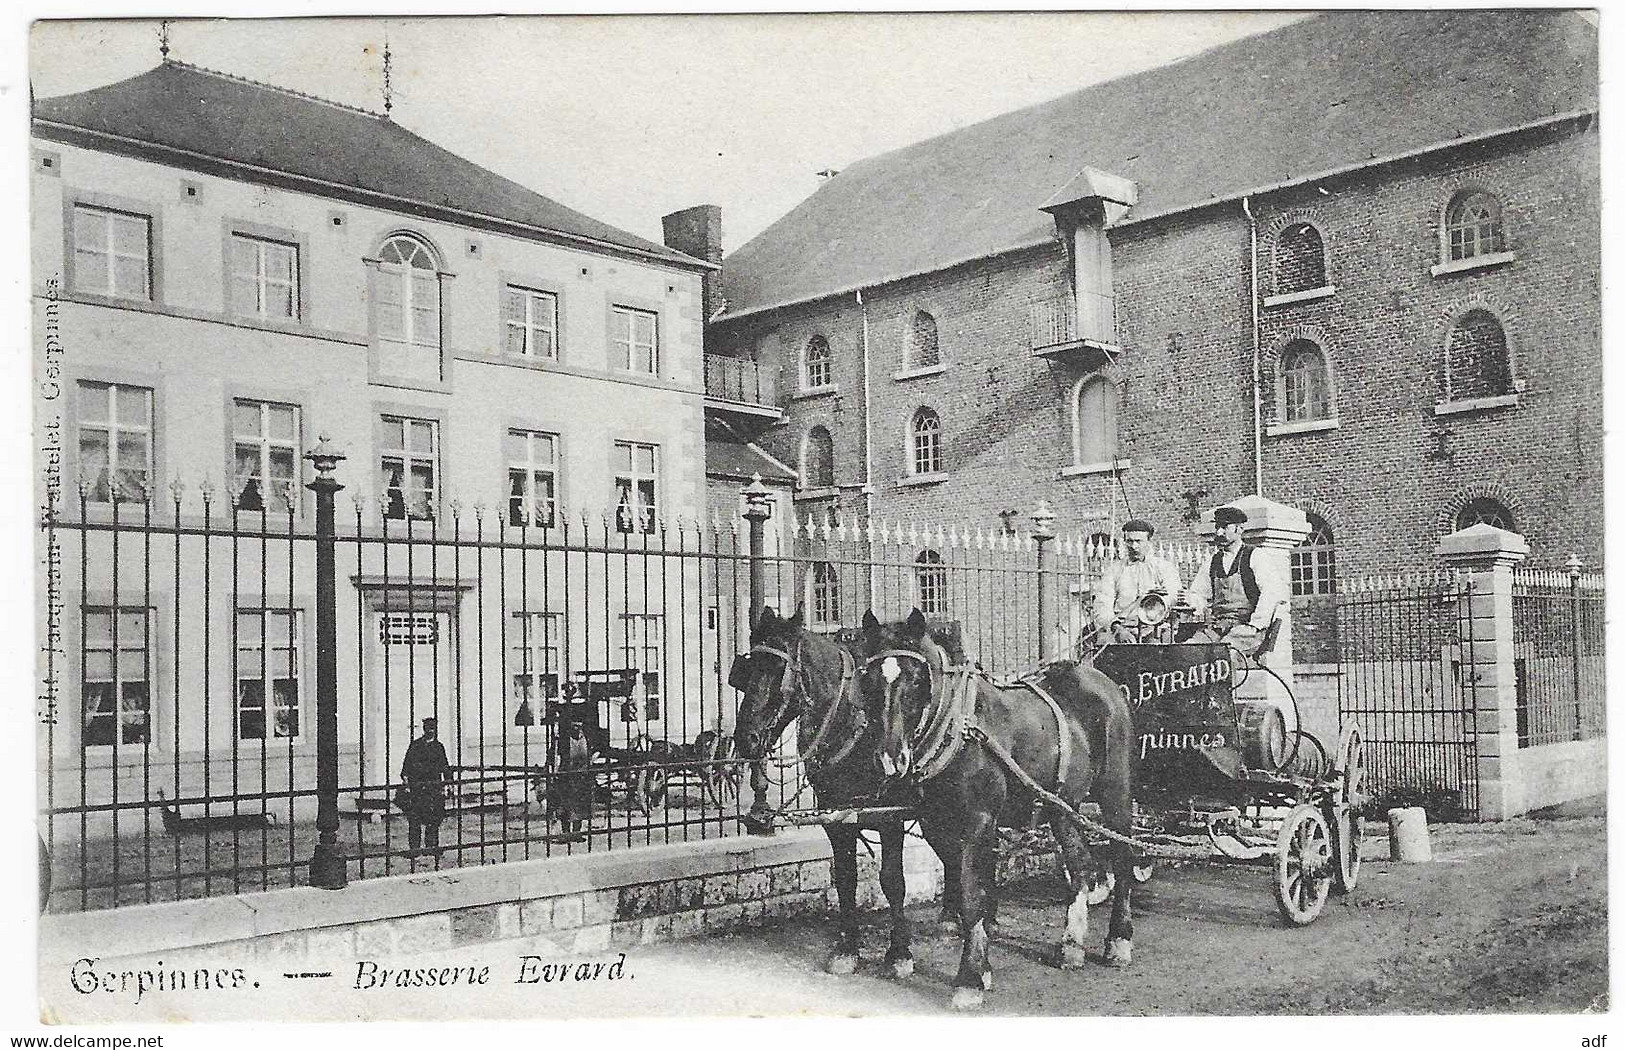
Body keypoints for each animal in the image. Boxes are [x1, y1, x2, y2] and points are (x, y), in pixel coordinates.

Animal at [734, 604, 929, 981]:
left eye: (777, 668)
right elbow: (846, 879)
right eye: (749, 667)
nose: (746, 738)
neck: (852, 726)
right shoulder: (836, 816)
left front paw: (899, 953)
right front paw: (847, 948)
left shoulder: (891, 816)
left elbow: (892, 879)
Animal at [858, 607, 1137, 1014]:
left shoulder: (979, 822)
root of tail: (1101, 681)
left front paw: (970, 979)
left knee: (1123, 856)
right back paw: (1070, 945)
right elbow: (939, 885)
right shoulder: (920, 821)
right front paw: (959, 964)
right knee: (1081, 865)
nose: (891, 759)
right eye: (870, 680)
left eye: (916, 679)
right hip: (1062, 806)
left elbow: (973, 894)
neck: (956, 729)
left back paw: (1119, 940)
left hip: (1115, 792)